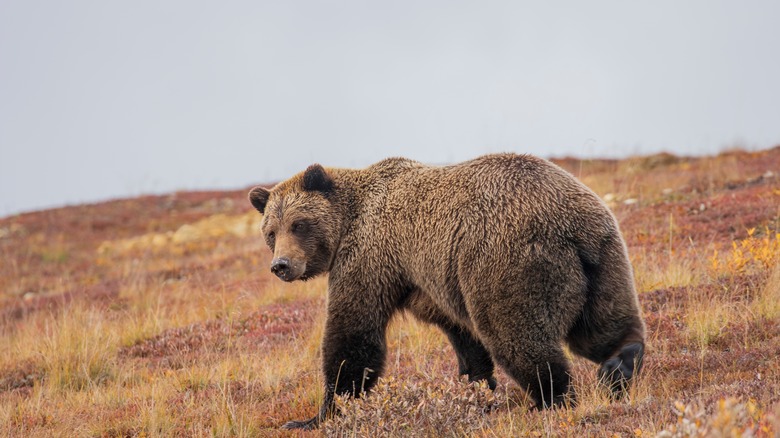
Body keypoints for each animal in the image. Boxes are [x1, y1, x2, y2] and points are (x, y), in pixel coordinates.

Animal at [248, 154, 644, 432]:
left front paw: (318, 415)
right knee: (603, 325)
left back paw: (551, 399)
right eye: (271, 231)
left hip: (506, 261)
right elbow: (463, 335)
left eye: (299, 224)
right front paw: (477, 388)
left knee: (517, 334)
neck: (350, 218)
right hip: (605, 261)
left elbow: (353, 334)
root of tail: (573, 223)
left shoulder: (369, 257)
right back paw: (621, 363)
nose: (281, 265)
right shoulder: (431, 281)